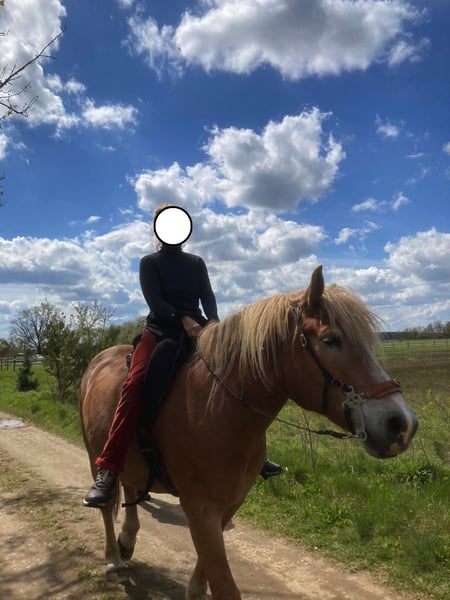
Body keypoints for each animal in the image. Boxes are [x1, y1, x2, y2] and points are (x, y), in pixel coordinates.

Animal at [79, 266, 418, 600]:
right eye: (330, 340)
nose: (402, 424)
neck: (217, 410)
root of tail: (99, 359)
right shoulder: (199, 507)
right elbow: (224, 585)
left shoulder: (229, 504)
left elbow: (207, 570)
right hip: (94, 454)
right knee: (107, 503)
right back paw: (113, 559)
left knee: (130, 486)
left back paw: (127, 541)